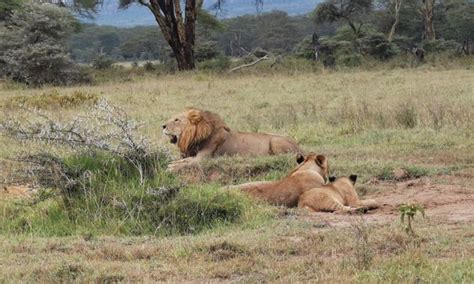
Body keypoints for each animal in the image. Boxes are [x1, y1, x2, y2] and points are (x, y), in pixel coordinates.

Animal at [163, 108, 304, 171]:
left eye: (176, 119)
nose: (162, 126)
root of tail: (300, 147)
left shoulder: (203, 159)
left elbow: (187, 162)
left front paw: (171, 167)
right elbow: (182, 160)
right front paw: (171, 163)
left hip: (276, 141)